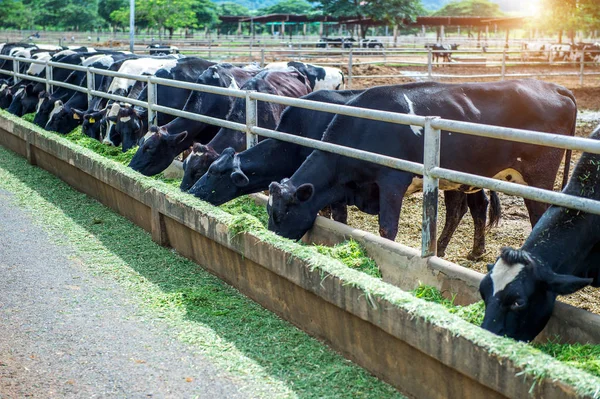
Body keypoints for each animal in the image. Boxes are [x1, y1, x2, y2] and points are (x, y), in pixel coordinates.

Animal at [266, 80, 576, 247]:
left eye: (281, 214)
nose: (269, 239)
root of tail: (553, 86)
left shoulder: (392, 180)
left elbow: (386, 228)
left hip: (539, 176)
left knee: (538, 217)